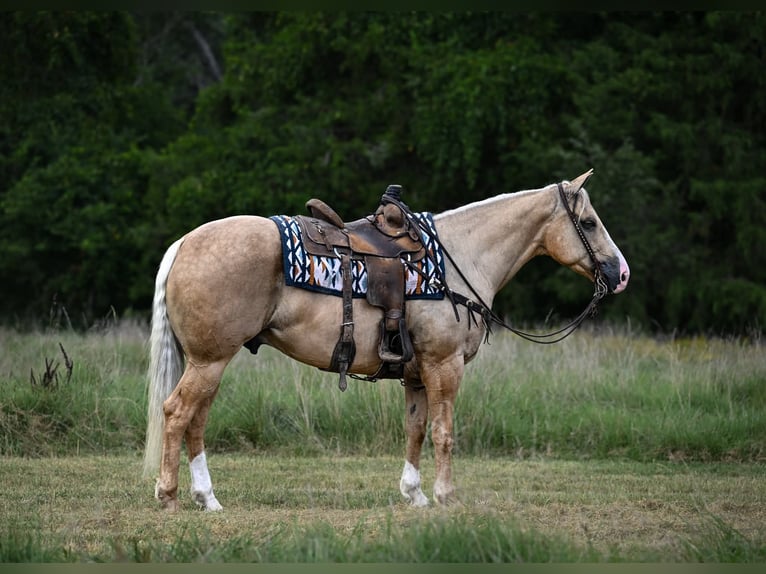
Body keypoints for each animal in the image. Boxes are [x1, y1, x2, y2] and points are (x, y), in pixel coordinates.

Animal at [142, 169, 630, 511]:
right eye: (589, 222)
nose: (620, 273)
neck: (458, 259)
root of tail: (184, 243)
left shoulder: (415, 374)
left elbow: (415, 429)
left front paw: (414, 494)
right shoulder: (444, 365)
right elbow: (443, 432)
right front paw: (446, 496)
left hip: (208, 361)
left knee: (196, 422)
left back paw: (207, 499)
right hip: (209, 361)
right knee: (177, 413)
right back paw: (168, 495)